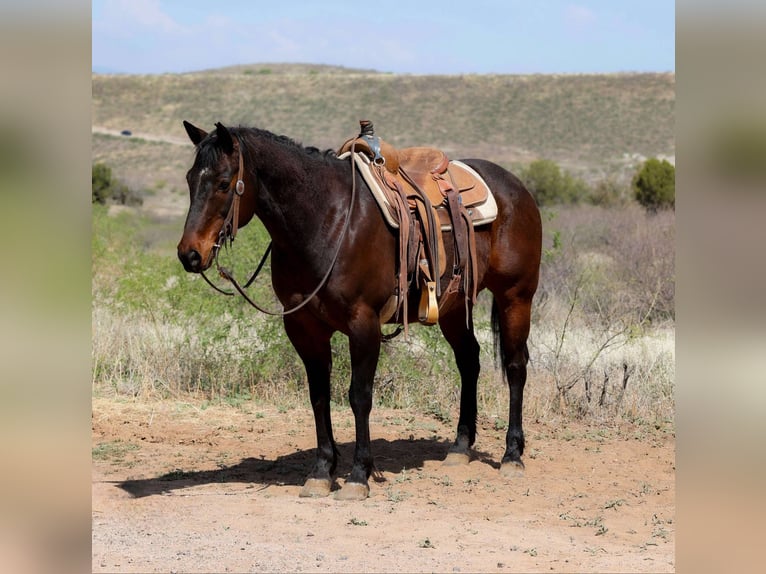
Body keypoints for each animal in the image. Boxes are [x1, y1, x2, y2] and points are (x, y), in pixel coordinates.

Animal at [177, 121, 542, 500]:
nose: (189, 254)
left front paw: (357, 474)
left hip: (516, 297)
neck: (327, 219)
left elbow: (359, 396)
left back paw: (512, 454)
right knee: (469, 360)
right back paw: (460, 447)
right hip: (455, 307)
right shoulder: (303, 326)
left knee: (515, 366)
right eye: (190, 179)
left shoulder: (363, 324)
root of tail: (516, 186)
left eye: (223, 183)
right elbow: (319, 396)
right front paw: (322, 471)